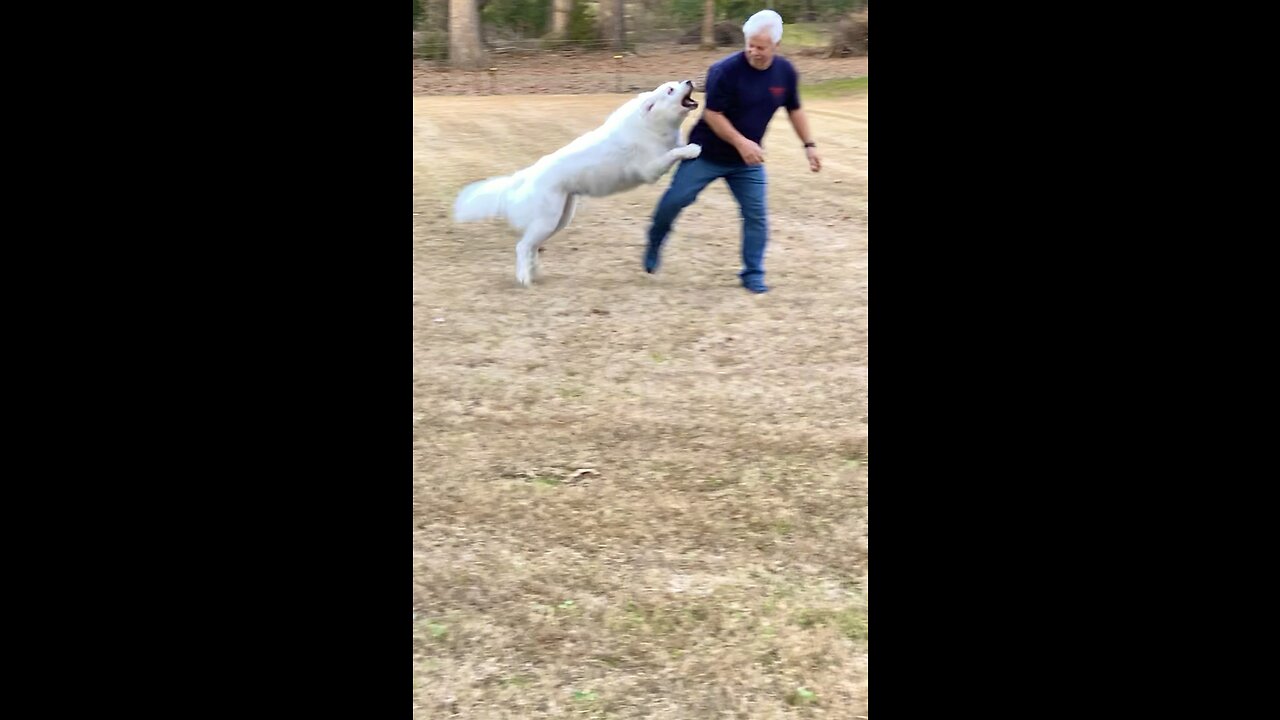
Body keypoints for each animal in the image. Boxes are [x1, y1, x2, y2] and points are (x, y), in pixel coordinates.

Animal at [455, 79, 706, 285]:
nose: (689, 81)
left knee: (532, 246)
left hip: (559, 219)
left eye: (676, 83)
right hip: (547, 220)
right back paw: (524, 277)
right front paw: (692, 149)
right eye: (670, 90)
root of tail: (527, 175)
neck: (651, 123)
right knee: (523, 246)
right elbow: (674, 153)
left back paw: (535, 272)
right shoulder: (650, 169)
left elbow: (676, 146)